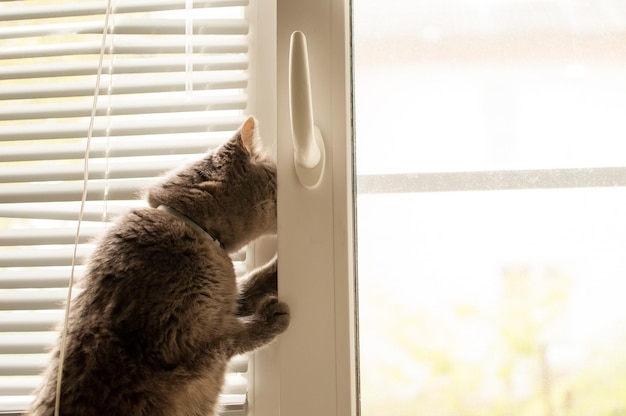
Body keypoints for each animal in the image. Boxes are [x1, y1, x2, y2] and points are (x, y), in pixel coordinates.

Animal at [25, 116, 288, 416]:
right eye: (275, 172)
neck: (199, 231)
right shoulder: (175, 342)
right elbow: (227, 339)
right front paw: (265, 319)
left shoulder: (225, 302)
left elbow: (250, 286)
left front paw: (276, 270)